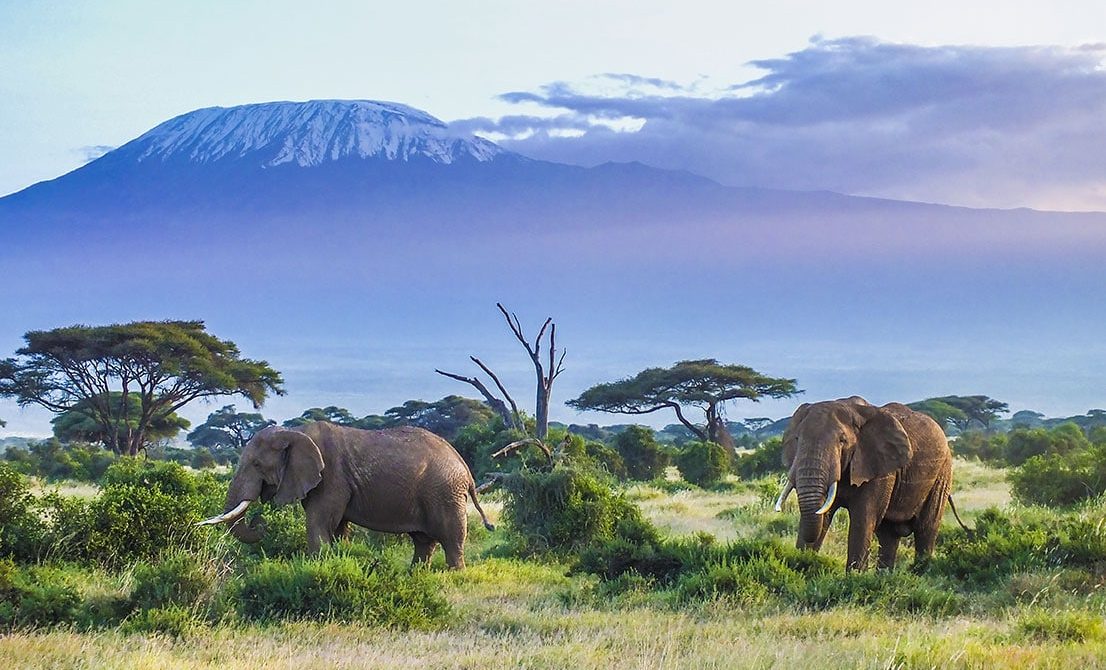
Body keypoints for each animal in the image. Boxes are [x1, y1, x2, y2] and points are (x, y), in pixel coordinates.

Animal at [196, 422, 495, 570]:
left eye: (257, 465)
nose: (261, 522)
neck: (295, 432)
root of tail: (465, 468)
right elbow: (337, 527)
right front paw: (336, 560)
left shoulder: (331, 477)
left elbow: (319, 522)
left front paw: (316, 568)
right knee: (423, 540)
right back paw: (416, 574)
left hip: (445, 492)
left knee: (451, 537)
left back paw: (454, 574)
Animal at [778, 398, 951, 570]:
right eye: (797, 439)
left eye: (842, 441)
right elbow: (823, 515)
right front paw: (801, 565)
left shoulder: (879, 468)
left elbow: (863, 519)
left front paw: (854, 576)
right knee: (888, 534)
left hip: (942, 474)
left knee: (926, 529)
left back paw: (919, 571)